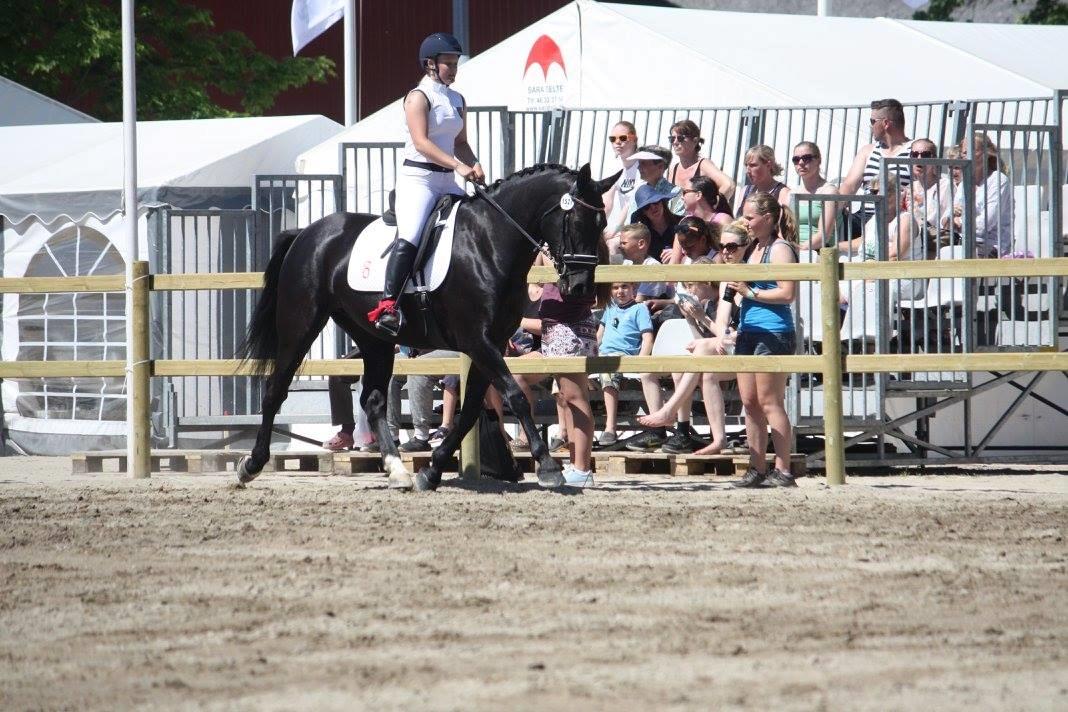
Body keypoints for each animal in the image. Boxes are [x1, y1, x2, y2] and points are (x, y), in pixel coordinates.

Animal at [238, 164, 615, 493]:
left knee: (373, 400)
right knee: (275, 389)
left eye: (603, 224)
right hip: (300, 324)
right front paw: (549, 468)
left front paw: (431, 471)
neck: (490, 242)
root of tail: (307, 232)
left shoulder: (490, 344)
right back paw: (251, 465)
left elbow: (469, 412)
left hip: (373, 339)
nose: (580, 288)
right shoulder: (478, 341)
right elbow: (515, 396)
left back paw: (397, 471)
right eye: (577, 220)